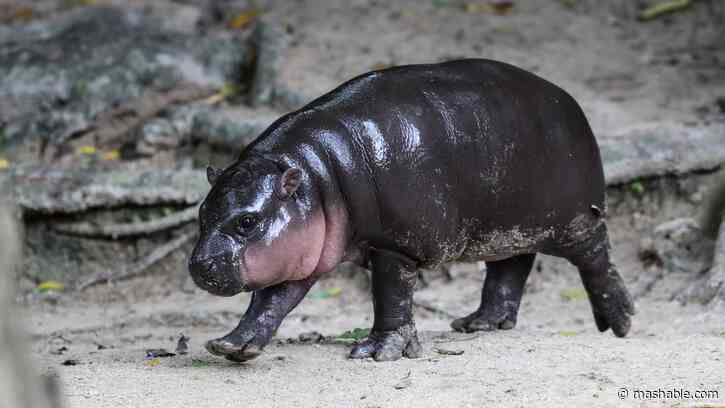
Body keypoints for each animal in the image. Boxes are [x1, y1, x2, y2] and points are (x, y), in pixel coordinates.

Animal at [189, 59, 635, 362]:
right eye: (201, 212)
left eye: (248, 222)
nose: (198, 265)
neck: (316, 176)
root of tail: (569, 101)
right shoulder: (300, 252)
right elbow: (270, 302)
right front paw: (231, 346)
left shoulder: (396, 245)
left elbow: (391, 298)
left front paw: (377, 352)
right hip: (507, 223)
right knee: (511, 265)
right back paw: (477, 324)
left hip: (575, 218)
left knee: (597, 258)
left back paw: (619, 323)